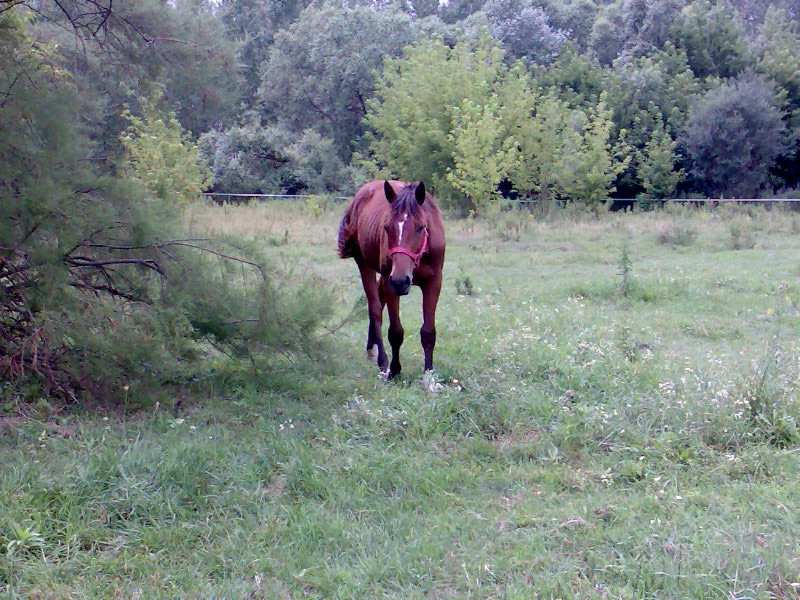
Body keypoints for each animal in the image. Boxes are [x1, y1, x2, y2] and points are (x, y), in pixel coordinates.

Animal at [338, 180, 446, 382]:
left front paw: (429, 377)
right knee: (375, 310)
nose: (400, 281)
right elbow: (395, 332)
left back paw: (370, 349)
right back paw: (381, 360)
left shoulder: (434, 282)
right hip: (366, 265)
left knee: (379, 303)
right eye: (387, 228)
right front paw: (394, 371)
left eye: (421, 227)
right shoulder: (391, 284)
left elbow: (428, 332)